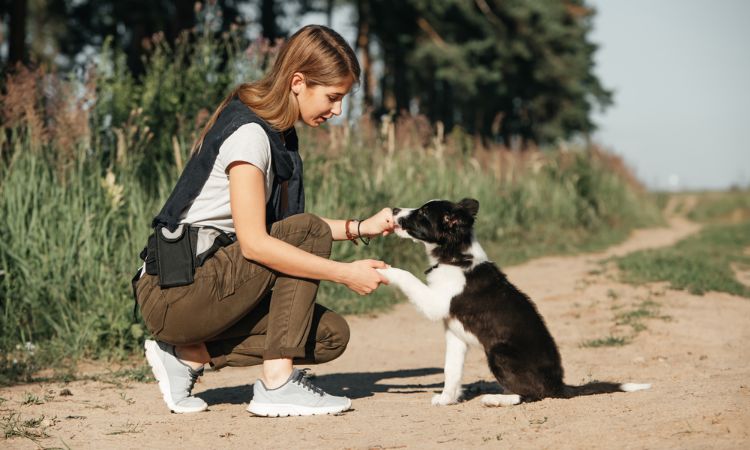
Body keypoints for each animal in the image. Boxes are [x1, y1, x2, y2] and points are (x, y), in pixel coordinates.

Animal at [378, 199, 648, 406]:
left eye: (423, 213)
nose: (393, 209)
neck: (455, 258)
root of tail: (558, 385)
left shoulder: (436, 304)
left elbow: (407, 276)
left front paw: (382, 270)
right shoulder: (454, 334)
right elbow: (451, 370)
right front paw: (447, 399)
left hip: (499, 353)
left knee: (534, 395)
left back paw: (496, 399)